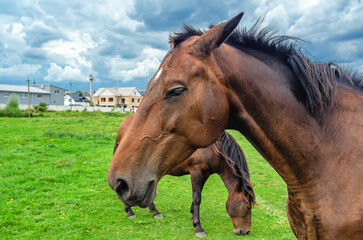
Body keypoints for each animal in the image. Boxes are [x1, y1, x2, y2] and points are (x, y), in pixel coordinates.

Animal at [114, 115, 256, 237]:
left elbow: (198, 195)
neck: (213, 149)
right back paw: (130, 211)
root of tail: (124, 123)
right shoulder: (196, 171)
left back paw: (155, 212)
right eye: (248, 206)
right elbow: (197, 198)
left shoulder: (205, 174)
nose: (245, 231)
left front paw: (193, 216)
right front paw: (198, 227)